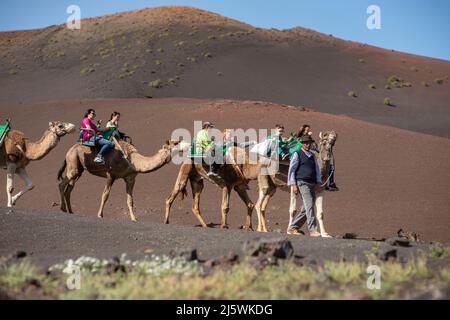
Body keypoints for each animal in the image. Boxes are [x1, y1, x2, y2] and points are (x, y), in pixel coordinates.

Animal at [57, 139, 189, 221]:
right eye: (176, 142)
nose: (188, 145)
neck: (132, 161)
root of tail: (69, 150)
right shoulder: (111, 175)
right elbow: (105, 195)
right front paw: (100, 215)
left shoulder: (130, 178)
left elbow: (130, 200)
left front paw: (134, 218)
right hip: (73, 162)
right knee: (62, 183)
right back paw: (63, 208)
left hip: (78, 170)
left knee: (69, 188)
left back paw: (70, 211)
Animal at [163, 131, 336, 238]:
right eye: (324, 139)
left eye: (333, 139)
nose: (332, 138)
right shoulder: (228, 185)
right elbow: (226, 206)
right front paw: (224, 226)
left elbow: (319, 212)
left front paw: (324, 234)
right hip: (185, 173)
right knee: (172, 195)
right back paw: (166, 221)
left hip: (199, 181)